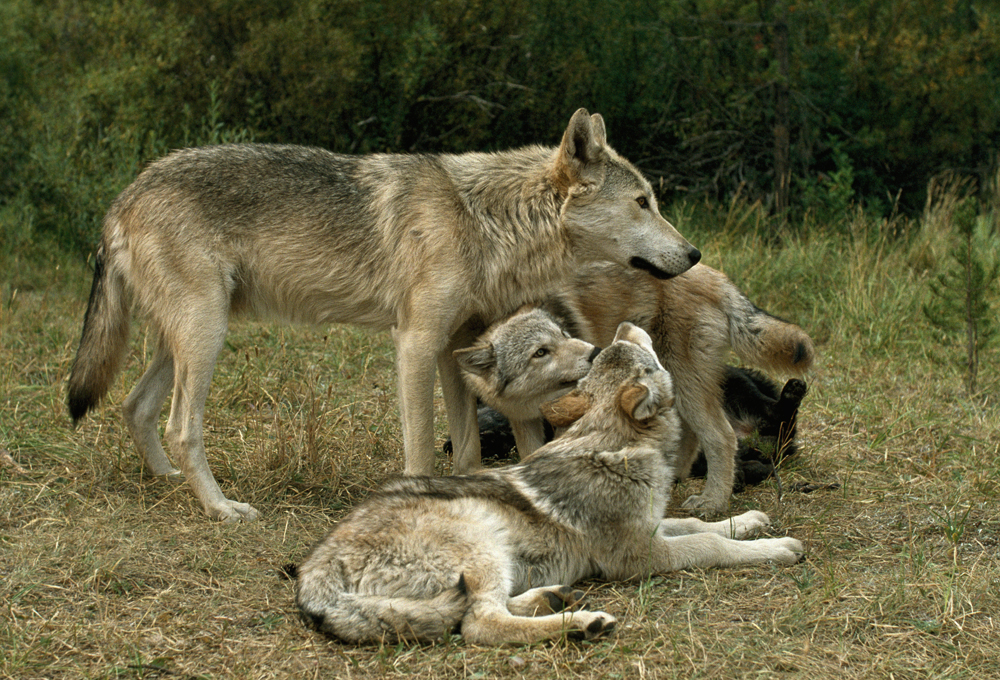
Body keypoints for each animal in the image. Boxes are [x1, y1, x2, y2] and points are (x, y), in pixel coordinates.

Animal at [66, 109, 701, 522]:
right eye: (643, 203)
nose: (695, 254)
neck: (487, 222)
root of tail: (122, 197)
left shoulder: (454, 348)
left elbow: (466, 447)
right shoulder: (415, 343)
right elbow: (421, 444)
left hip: (187, 341)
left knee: (134, 407)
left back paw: (169, 484)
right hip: (206, 335)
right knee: (180, 427)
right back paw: (221, 508)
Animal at [294, 323, 804, 646]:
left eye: (634, 353)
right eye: (651, 360)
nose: (619, 328)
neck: (611, 446)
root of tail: (311, 574)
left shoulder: (652, 526)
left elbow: (701, 524)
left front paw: (751, 520)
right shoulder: (638, 556)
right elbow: (710, 545)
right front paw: (775, 549)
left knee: (488, 610)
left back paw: (555, 599)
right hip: (481, 543)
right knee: (480, 626)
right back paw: (582, 624)